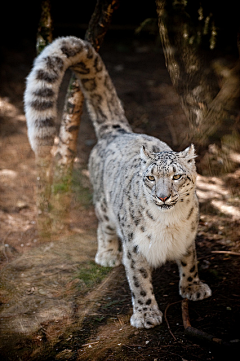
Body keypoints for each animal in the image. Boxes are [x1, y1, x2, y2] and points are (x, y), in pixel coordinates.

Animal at [24, 37, 212, 330]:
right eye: (150, 177)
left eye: (176, 176)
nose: (162, 197)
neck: (170, 223)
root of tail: (118, 131)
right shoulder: (135, 248)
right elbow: (140, 282)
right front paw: (146, 314)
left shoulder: (188, 237)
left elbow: (190, 262)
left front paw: (193, 288)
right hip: (104, 206)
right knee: (103, 226)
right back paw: (106, 254)